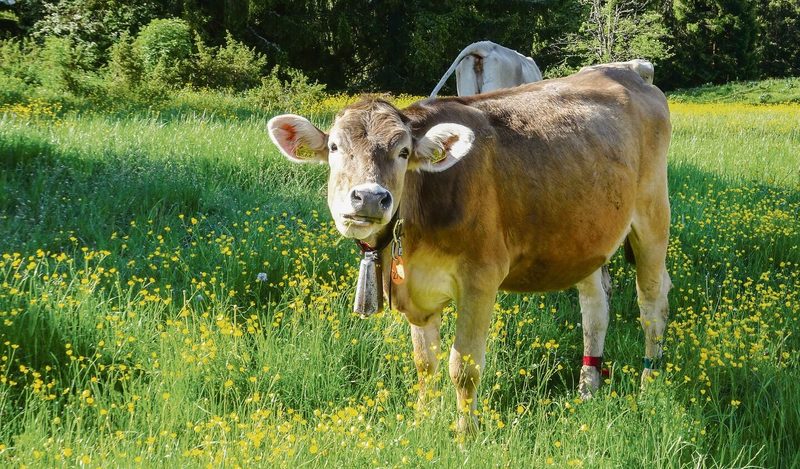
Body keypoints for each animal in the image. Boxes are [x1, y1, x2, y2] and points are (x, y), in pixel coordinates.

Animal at [267, 62, 671, 434]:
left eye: (403, 152)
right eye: (335, 148)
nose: (369, 197)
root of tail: (626, 68)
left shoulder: (481, 277)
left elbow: (464, 367)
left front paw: (465, 435)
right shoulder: (417, 292)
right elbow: (424, 362)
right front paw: (421, 421)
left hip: (652, 215)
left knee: (652, 303)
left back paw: (649, 388)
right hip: (585, 236)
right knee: (595, 306)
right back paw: (588, 388)